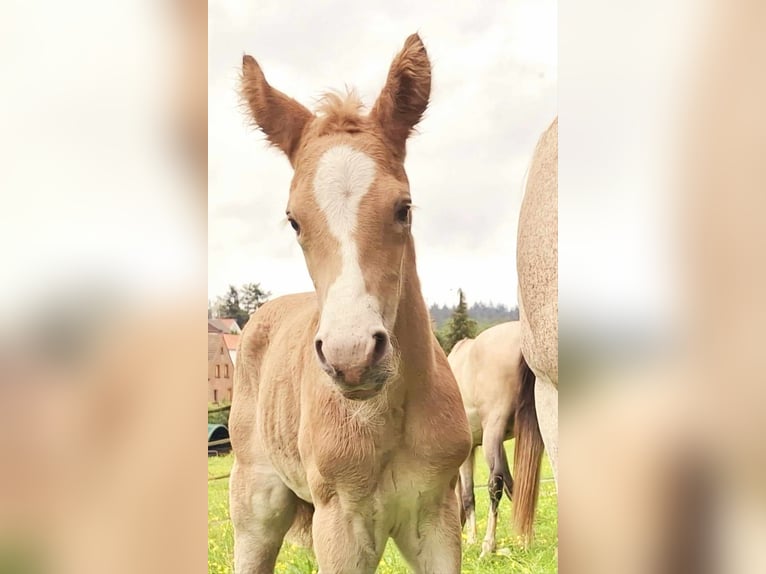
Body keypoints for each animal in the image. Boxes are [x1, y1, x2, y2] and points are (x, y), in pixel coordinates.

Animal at [231, 36, 474, 574]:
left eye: (403, 208)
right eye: (294, 220)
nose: (353, 357)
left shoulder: (437, 517)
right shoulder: (339, 524)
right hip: (255, 508)